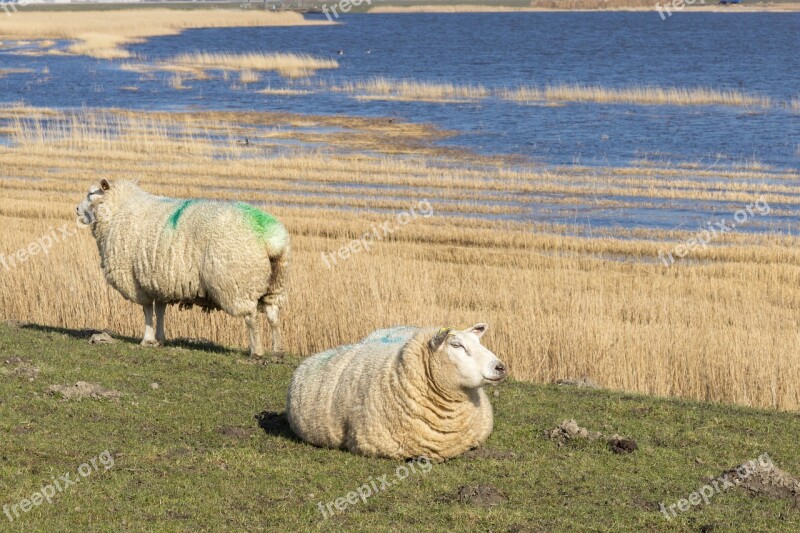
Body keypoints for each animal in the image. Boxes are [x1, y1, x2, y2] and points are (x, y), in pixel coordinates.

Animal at [76, 180, 290, 358]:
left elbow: (147, 310)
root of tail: (272, 238)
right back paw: (278, 352)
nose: (77, 209)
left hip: (238, 282)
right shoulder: (159, 281)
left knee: (251, 317)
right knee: (273, 315)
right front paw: (160, 338)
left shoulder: (137, 282)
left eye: (92, 193)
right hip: (276, 283)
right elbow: (160, 309)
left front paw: (147, 340)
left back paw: (257, 352)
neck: (118, 210)